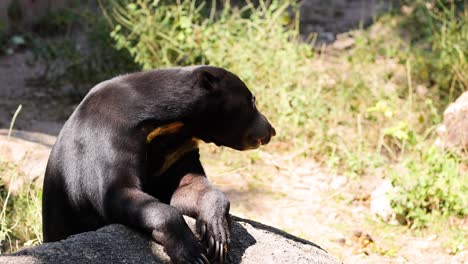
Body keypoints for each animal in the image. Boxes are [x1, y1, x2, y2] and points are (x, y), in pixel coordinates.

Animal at [42, 65, 276, 262]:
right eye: (252, 101)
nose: (270, 130)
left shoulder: (177, 147)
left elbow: (190, 187)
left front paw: (217, 236)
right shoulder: (107, 138)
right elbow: (117, 193)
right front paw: (194, 252)